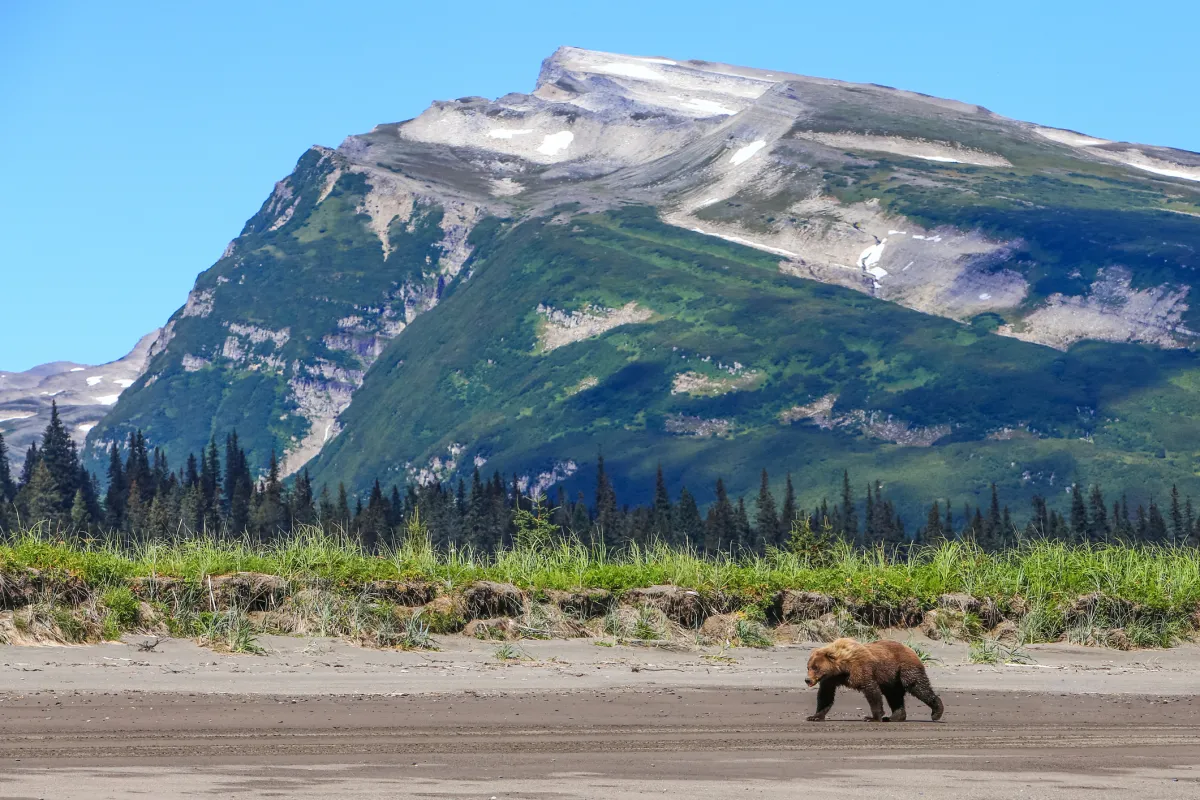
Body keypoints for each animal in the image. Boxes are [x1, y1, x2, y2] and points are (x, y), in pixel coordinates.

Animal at [806, 642, 945, 724]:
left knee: (918, 686)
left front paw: (872, 717)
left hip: (904, 668)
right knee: (894, 696)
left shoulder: (861, 669)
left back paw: (936, 712)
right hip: (891, 678)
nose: (807, 680)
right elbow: (825, 695)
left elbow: (871, 691)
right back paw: (894, 717)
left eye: (816, 667)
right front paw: (814, 716)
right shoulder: (830, 679)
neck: (842, 668)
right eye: (808, 667)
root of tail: (910, 649)